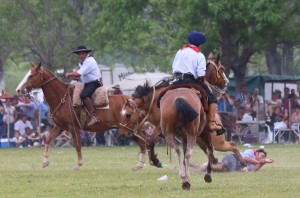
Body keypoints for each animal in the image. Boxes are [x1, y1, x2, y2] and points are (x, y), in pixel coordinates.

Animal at [18, 63, 162, 170]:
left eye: (31, 75)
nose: (19, 90)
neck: (62, 98)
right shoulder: (60, 127)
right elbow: (48, 140)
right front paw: (45, 162)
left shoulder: (73, 127)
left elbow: (77, 145)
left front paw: (78, 164)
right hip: (127, 131)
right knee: (143, 143)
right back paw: (139, 165)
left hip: (130, 130)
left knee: (145, 142)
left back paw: (146, 163)